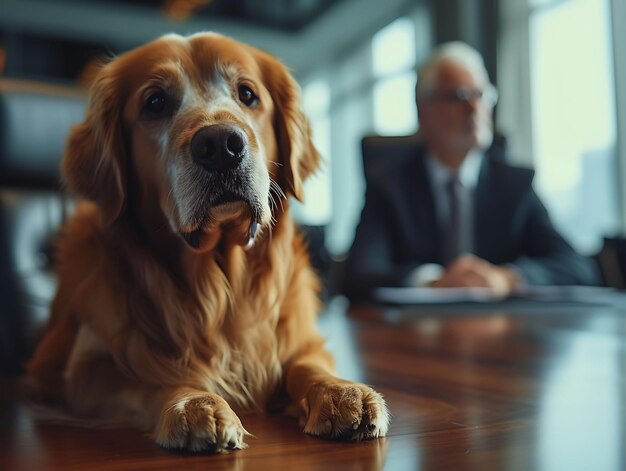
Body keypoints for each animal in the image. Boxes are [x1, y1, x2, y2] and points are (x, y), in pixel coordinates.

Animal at [26, 33, 388, 454]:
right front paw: (194, 403)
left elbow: (307, 363)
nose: (220, 144)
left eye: (247, 94)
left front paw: (340, 392)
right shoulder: (85, 368)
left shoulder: (297, 339)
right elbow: (150, 377)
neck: (219, 282)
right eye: (155, 102)